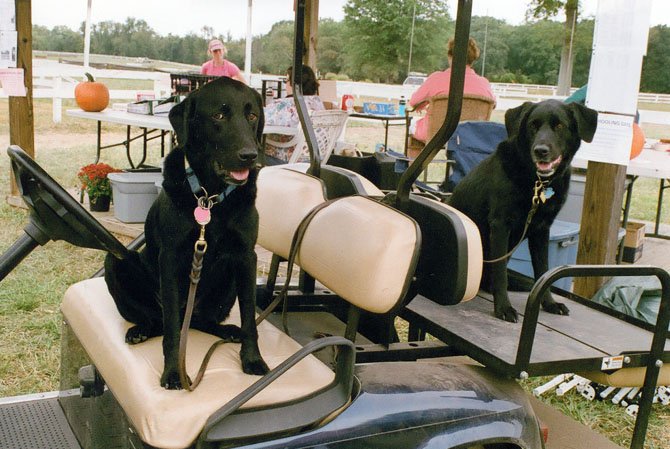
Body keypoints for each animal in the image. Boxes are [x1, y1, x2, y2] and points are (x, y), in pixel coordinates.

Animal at [105, 77, 270, 388]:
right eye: (219, 115)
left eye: (252, 116)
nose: (250, 156)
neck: (210, 198)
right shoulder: (170, 259)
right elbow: (171, 330)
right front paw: (173, 372)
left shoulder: (246, 257)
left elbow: (249, 318)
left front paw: (252, 359)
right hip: (115, 263)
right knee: (159, 320)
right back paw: (140, 330)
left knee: (202, 320)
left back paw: (228, 331)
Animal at [452, 98, 600, 322]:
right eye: (533, 125)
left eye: (559, 126)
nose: (541, 150)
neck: (537, 183)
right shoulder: (500, 226)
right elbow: (501, 274)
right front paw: (503, 307)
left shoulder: (542, 229)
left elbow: (543, 270)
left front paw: (549, 303)